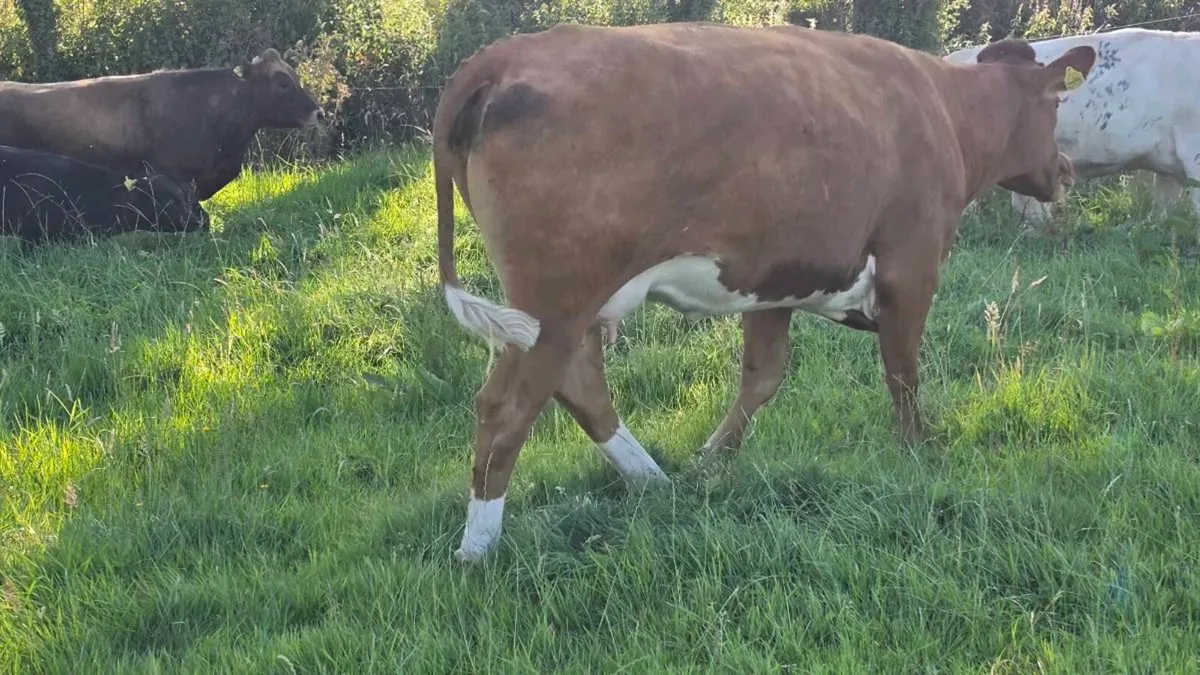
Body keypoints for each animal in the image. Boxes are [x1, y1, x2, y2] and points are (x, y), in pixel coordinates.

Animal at [432, 22, 1096, 562]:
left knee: (579, 385)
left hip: (569, 306)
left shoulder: (775, 283)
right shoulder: (911, 266)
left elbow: (762, 376)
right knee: (506, 408)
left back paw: (653, 481)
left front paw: (713, 460)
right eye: (1056, 103)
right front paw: (918, 452)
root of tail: (503, 55)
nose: (1067, 169)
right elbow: (903, 374)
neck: (947, 112)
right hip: (555, 301)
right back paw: (478, 549)